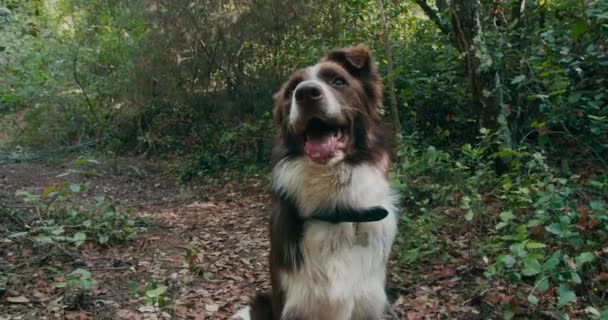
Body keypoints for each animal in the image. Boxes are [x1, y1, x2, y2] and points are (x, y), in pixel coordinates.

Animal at [233, 44, 400, 320]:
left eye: (338, 81)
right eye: (291, 91)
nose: (306, 94)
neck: (335, 211)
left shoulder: (367, 303)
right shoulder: (293, 304)